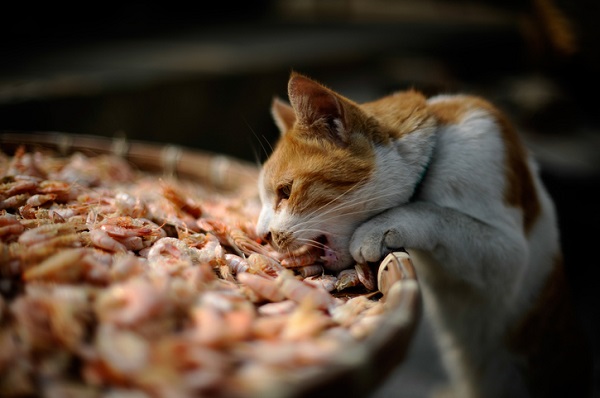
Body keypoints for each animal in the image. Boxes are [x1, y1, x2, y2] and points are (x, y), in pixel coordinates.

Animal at [255, 72, 592, 398]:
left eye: (285, 191)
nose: (263, 235)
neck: (437, 153)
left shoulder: (508, 255)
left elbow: (432, 211)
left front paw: (375, 229)